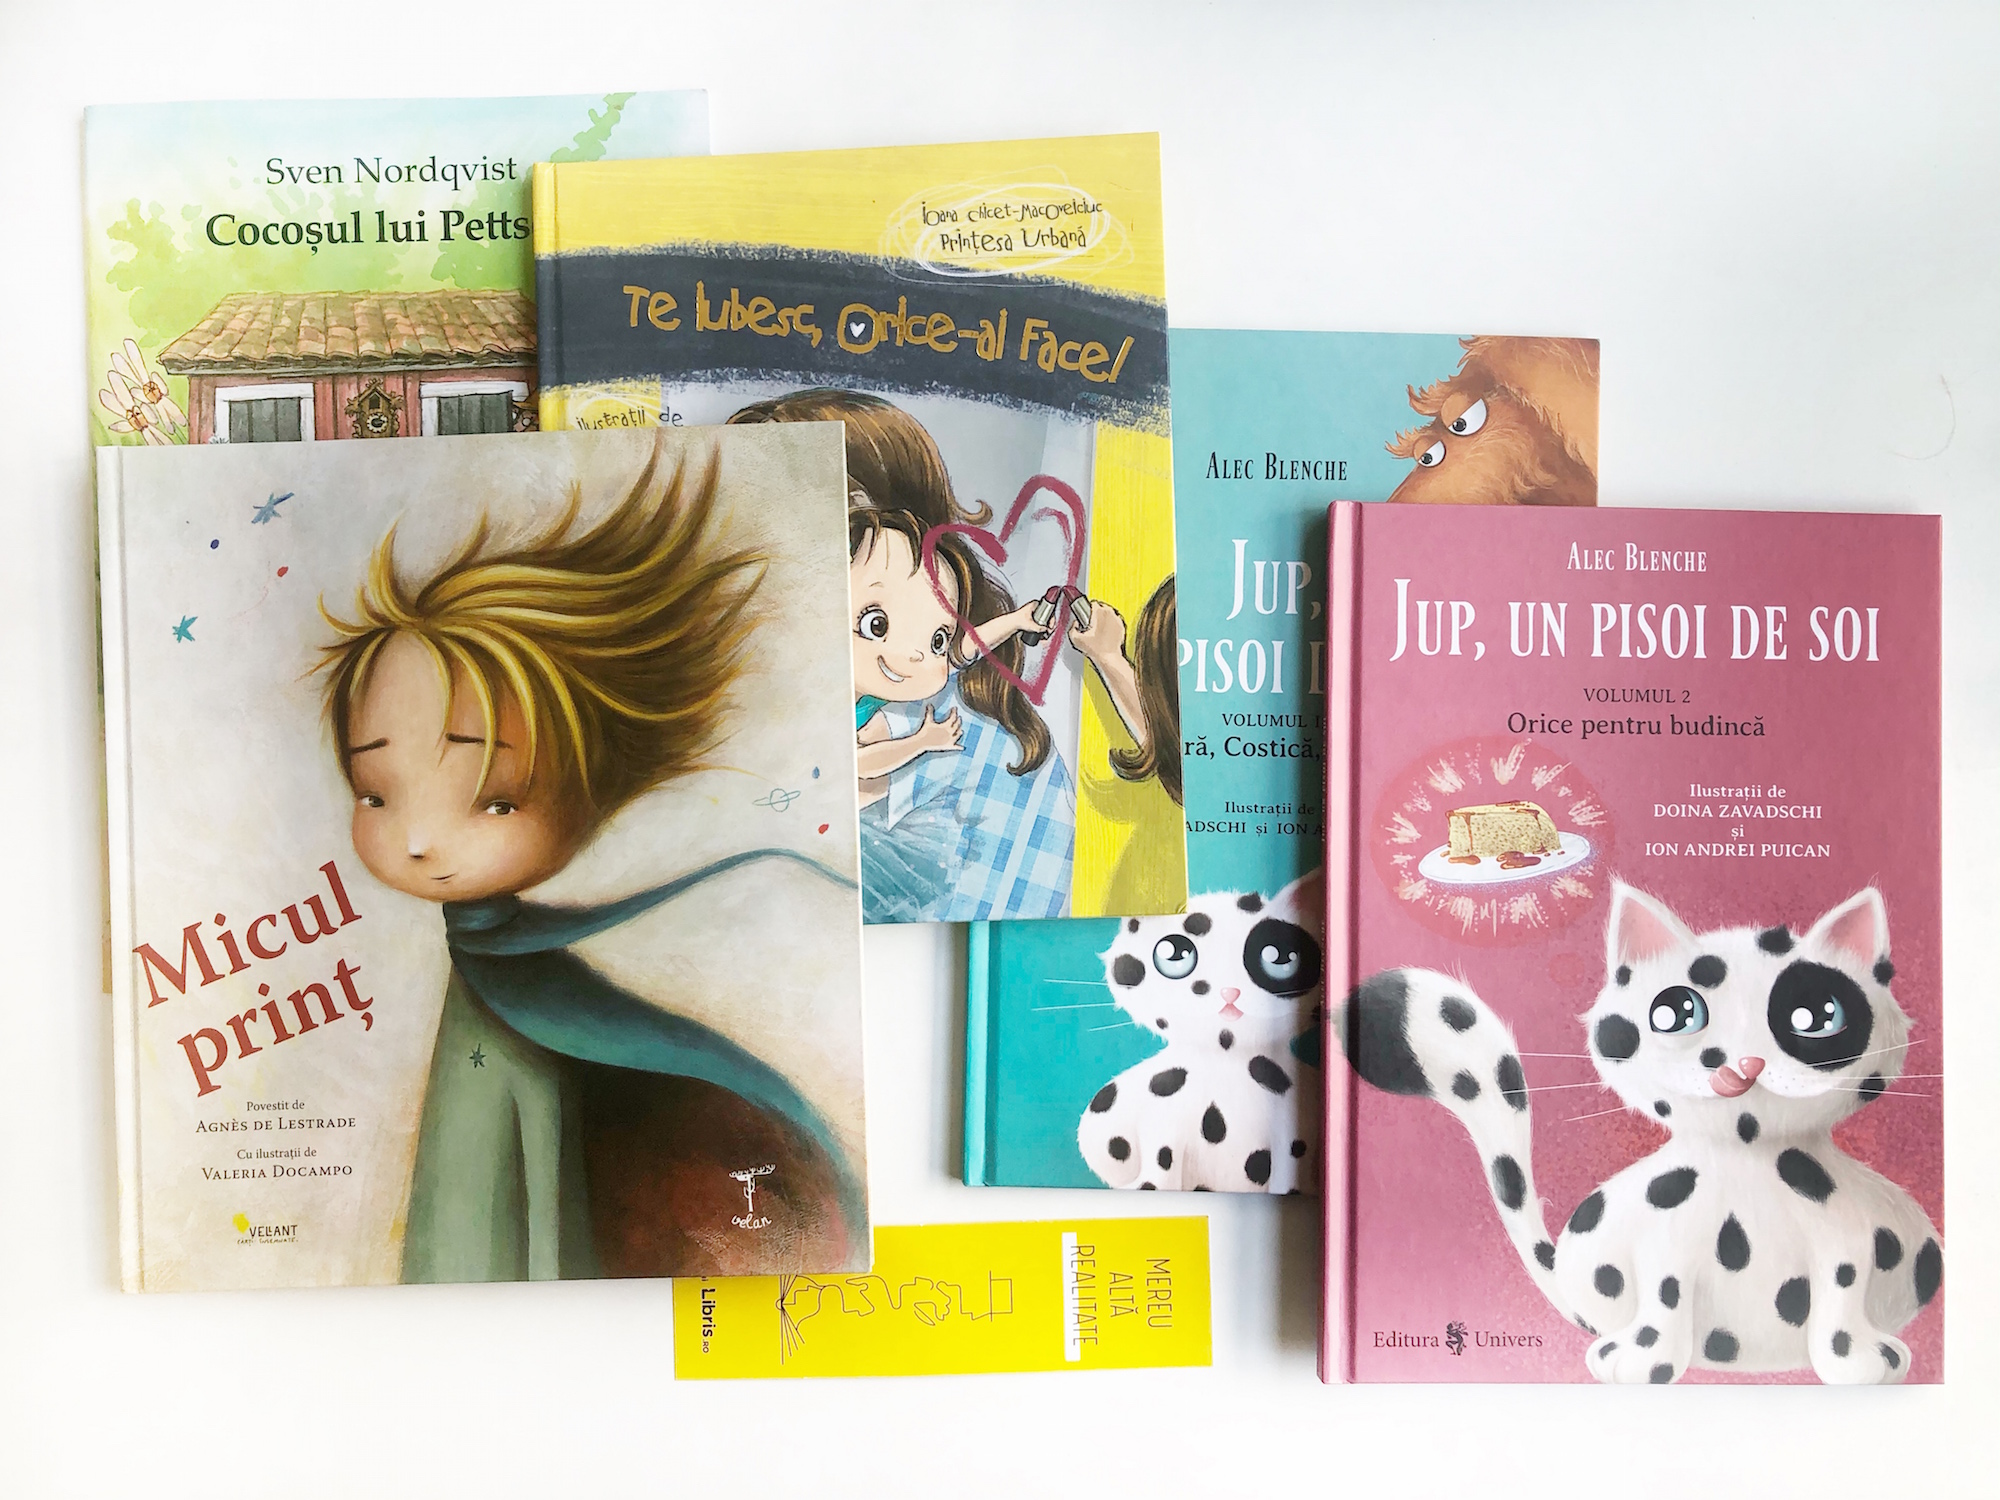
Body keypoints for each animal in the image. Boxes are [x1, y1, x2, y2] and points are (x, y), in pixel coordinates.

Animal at [1078, 870, 1323, 1193]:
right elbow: (1161, 1162)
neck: (1224, 1064)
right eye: (1175, 954)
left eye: (1281, 957)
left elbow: (1289, 1171)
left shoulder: (1292, 1135)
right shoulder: (1162, 1125)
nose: (1229, 992)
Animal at [1340, 880, 1942, 1383]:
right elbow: (1665, 1295)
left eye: (1816, 1015)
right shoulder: (1664, 1248)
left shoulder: (1844, 1241)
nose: (1743, 1065)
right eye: (1676, 1012)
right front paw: (1645, 1360)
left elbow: (1842, 1292)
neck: (1746, 1166)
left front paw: (1856, 1361)